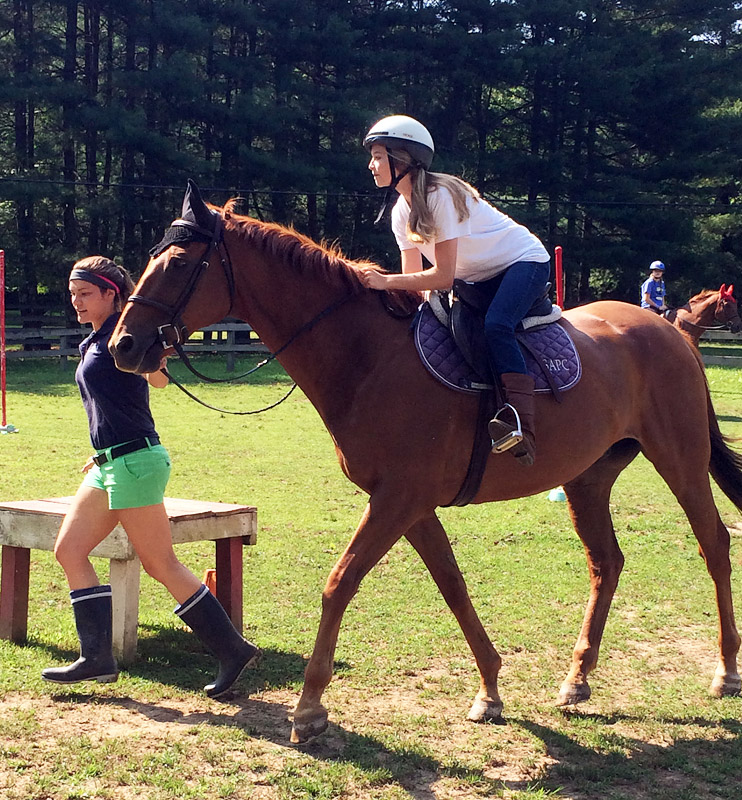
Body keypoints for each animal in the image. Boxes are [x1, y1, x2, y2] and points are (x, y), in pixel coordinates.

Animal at [109, 183, 742, 744]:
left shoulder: (400, 498)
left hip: (680, 459)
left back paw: (725, 670)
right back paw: (577, 680)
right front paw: (490, 689)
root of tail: (669, 332)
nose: (122, 346)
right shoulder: (408, 503)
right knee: (606, 563)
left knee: (713, 541)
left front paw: (309, 709)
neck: (368, 356)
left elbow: (339, 584)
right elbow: (452, 585)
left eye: (177, 262)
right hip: (588, 478)